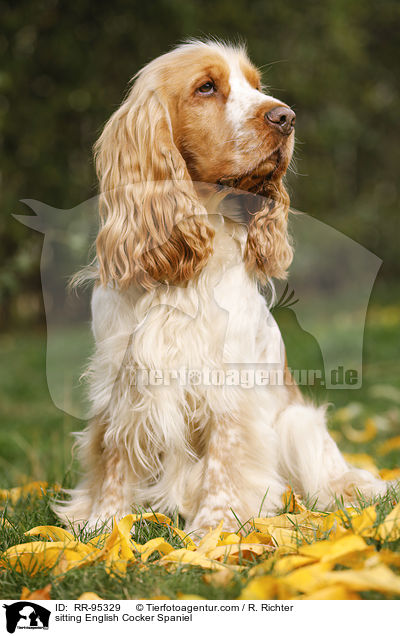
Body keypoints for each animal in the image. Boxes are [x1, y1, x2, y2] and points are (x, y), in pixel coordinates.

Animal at [54, 41, 392, 536]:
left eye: (256, 85)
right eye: (206, 87)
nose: (286, 117)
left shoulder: (228, 384)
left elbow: (224, 456)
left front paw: (215, 528)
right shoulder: (122, 379)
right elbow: (115, 456)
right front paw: (103, 525)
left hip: (298, 423)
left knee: (330, 478)